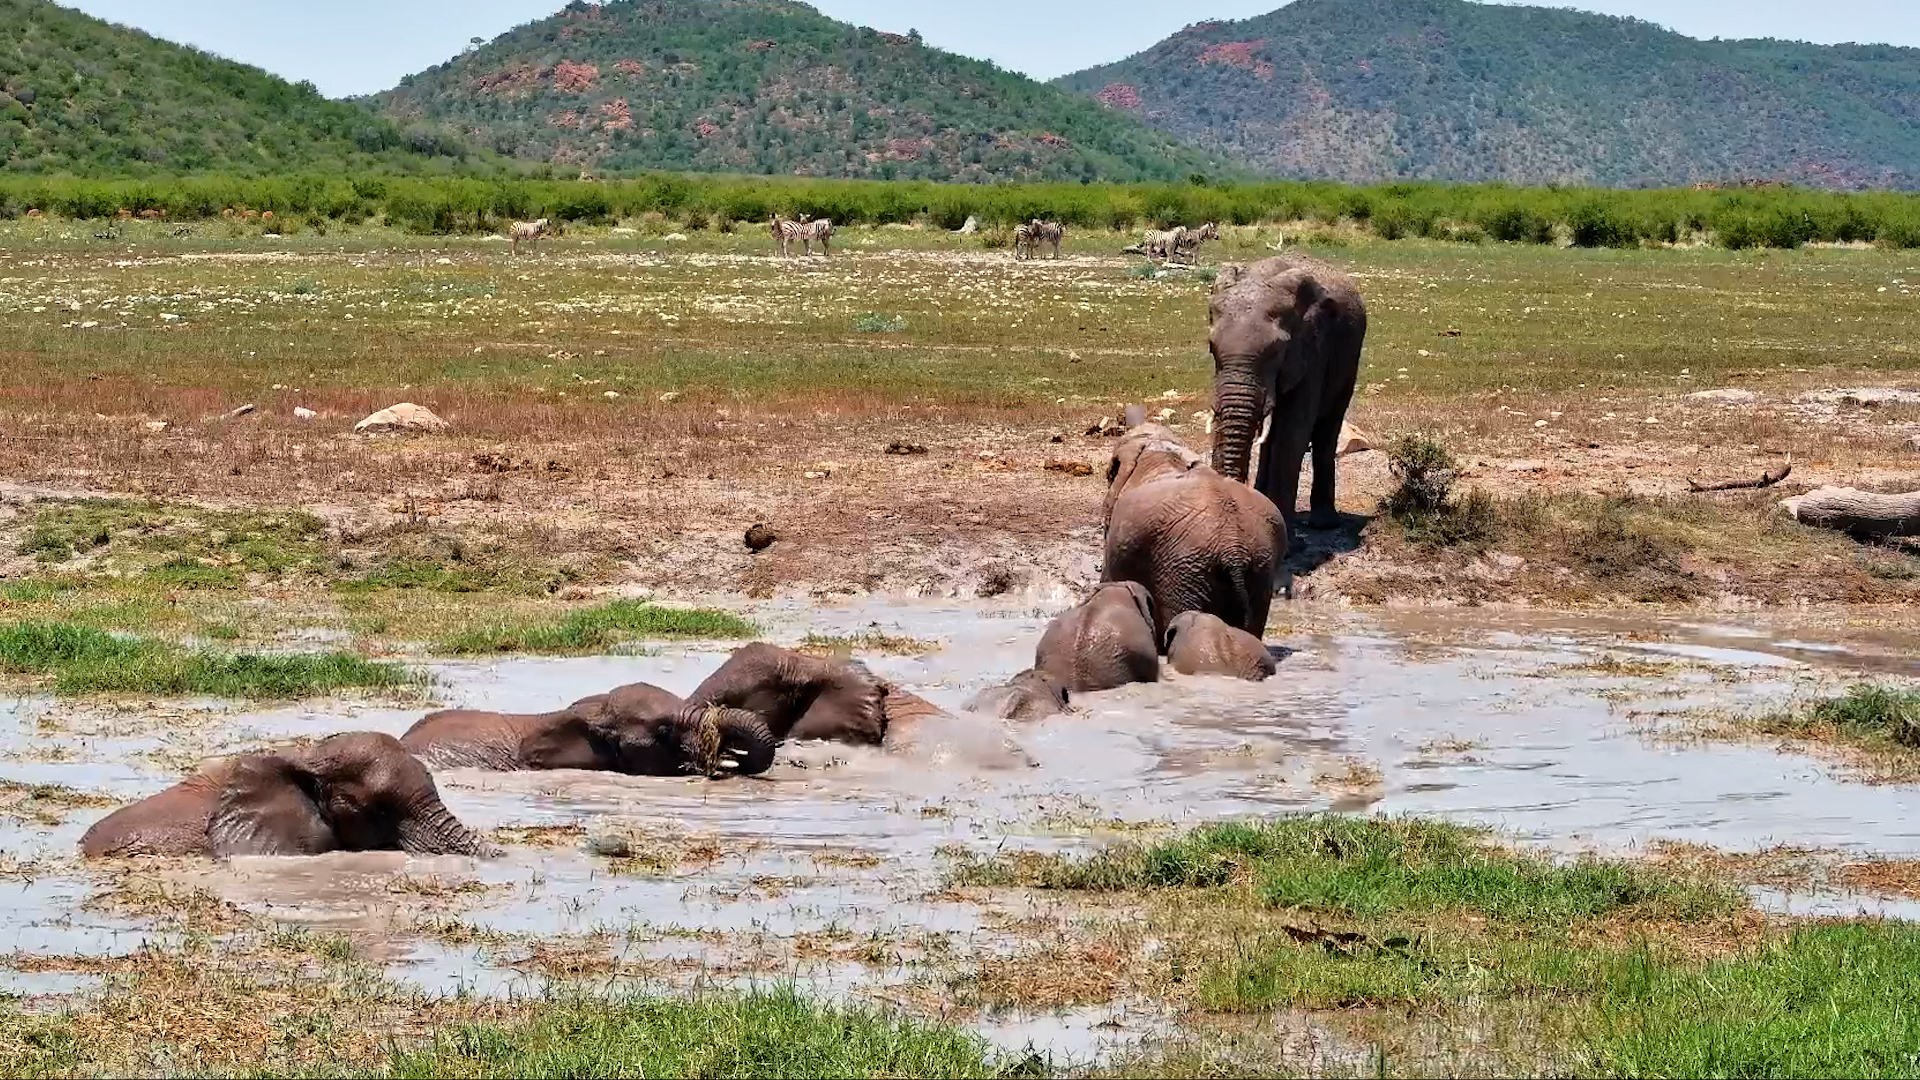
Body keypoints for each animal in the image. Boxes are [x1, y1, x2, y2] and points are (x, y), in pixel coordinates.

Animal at [1208, 254, 1368, 537]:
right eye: (1211, 348)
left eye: (1276, 351)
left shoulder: (1313, 349)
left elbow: (1294, 430)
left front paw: (1286, 541)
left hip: (1350, 358)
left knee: (1327, 430)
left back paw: (1324, 523)